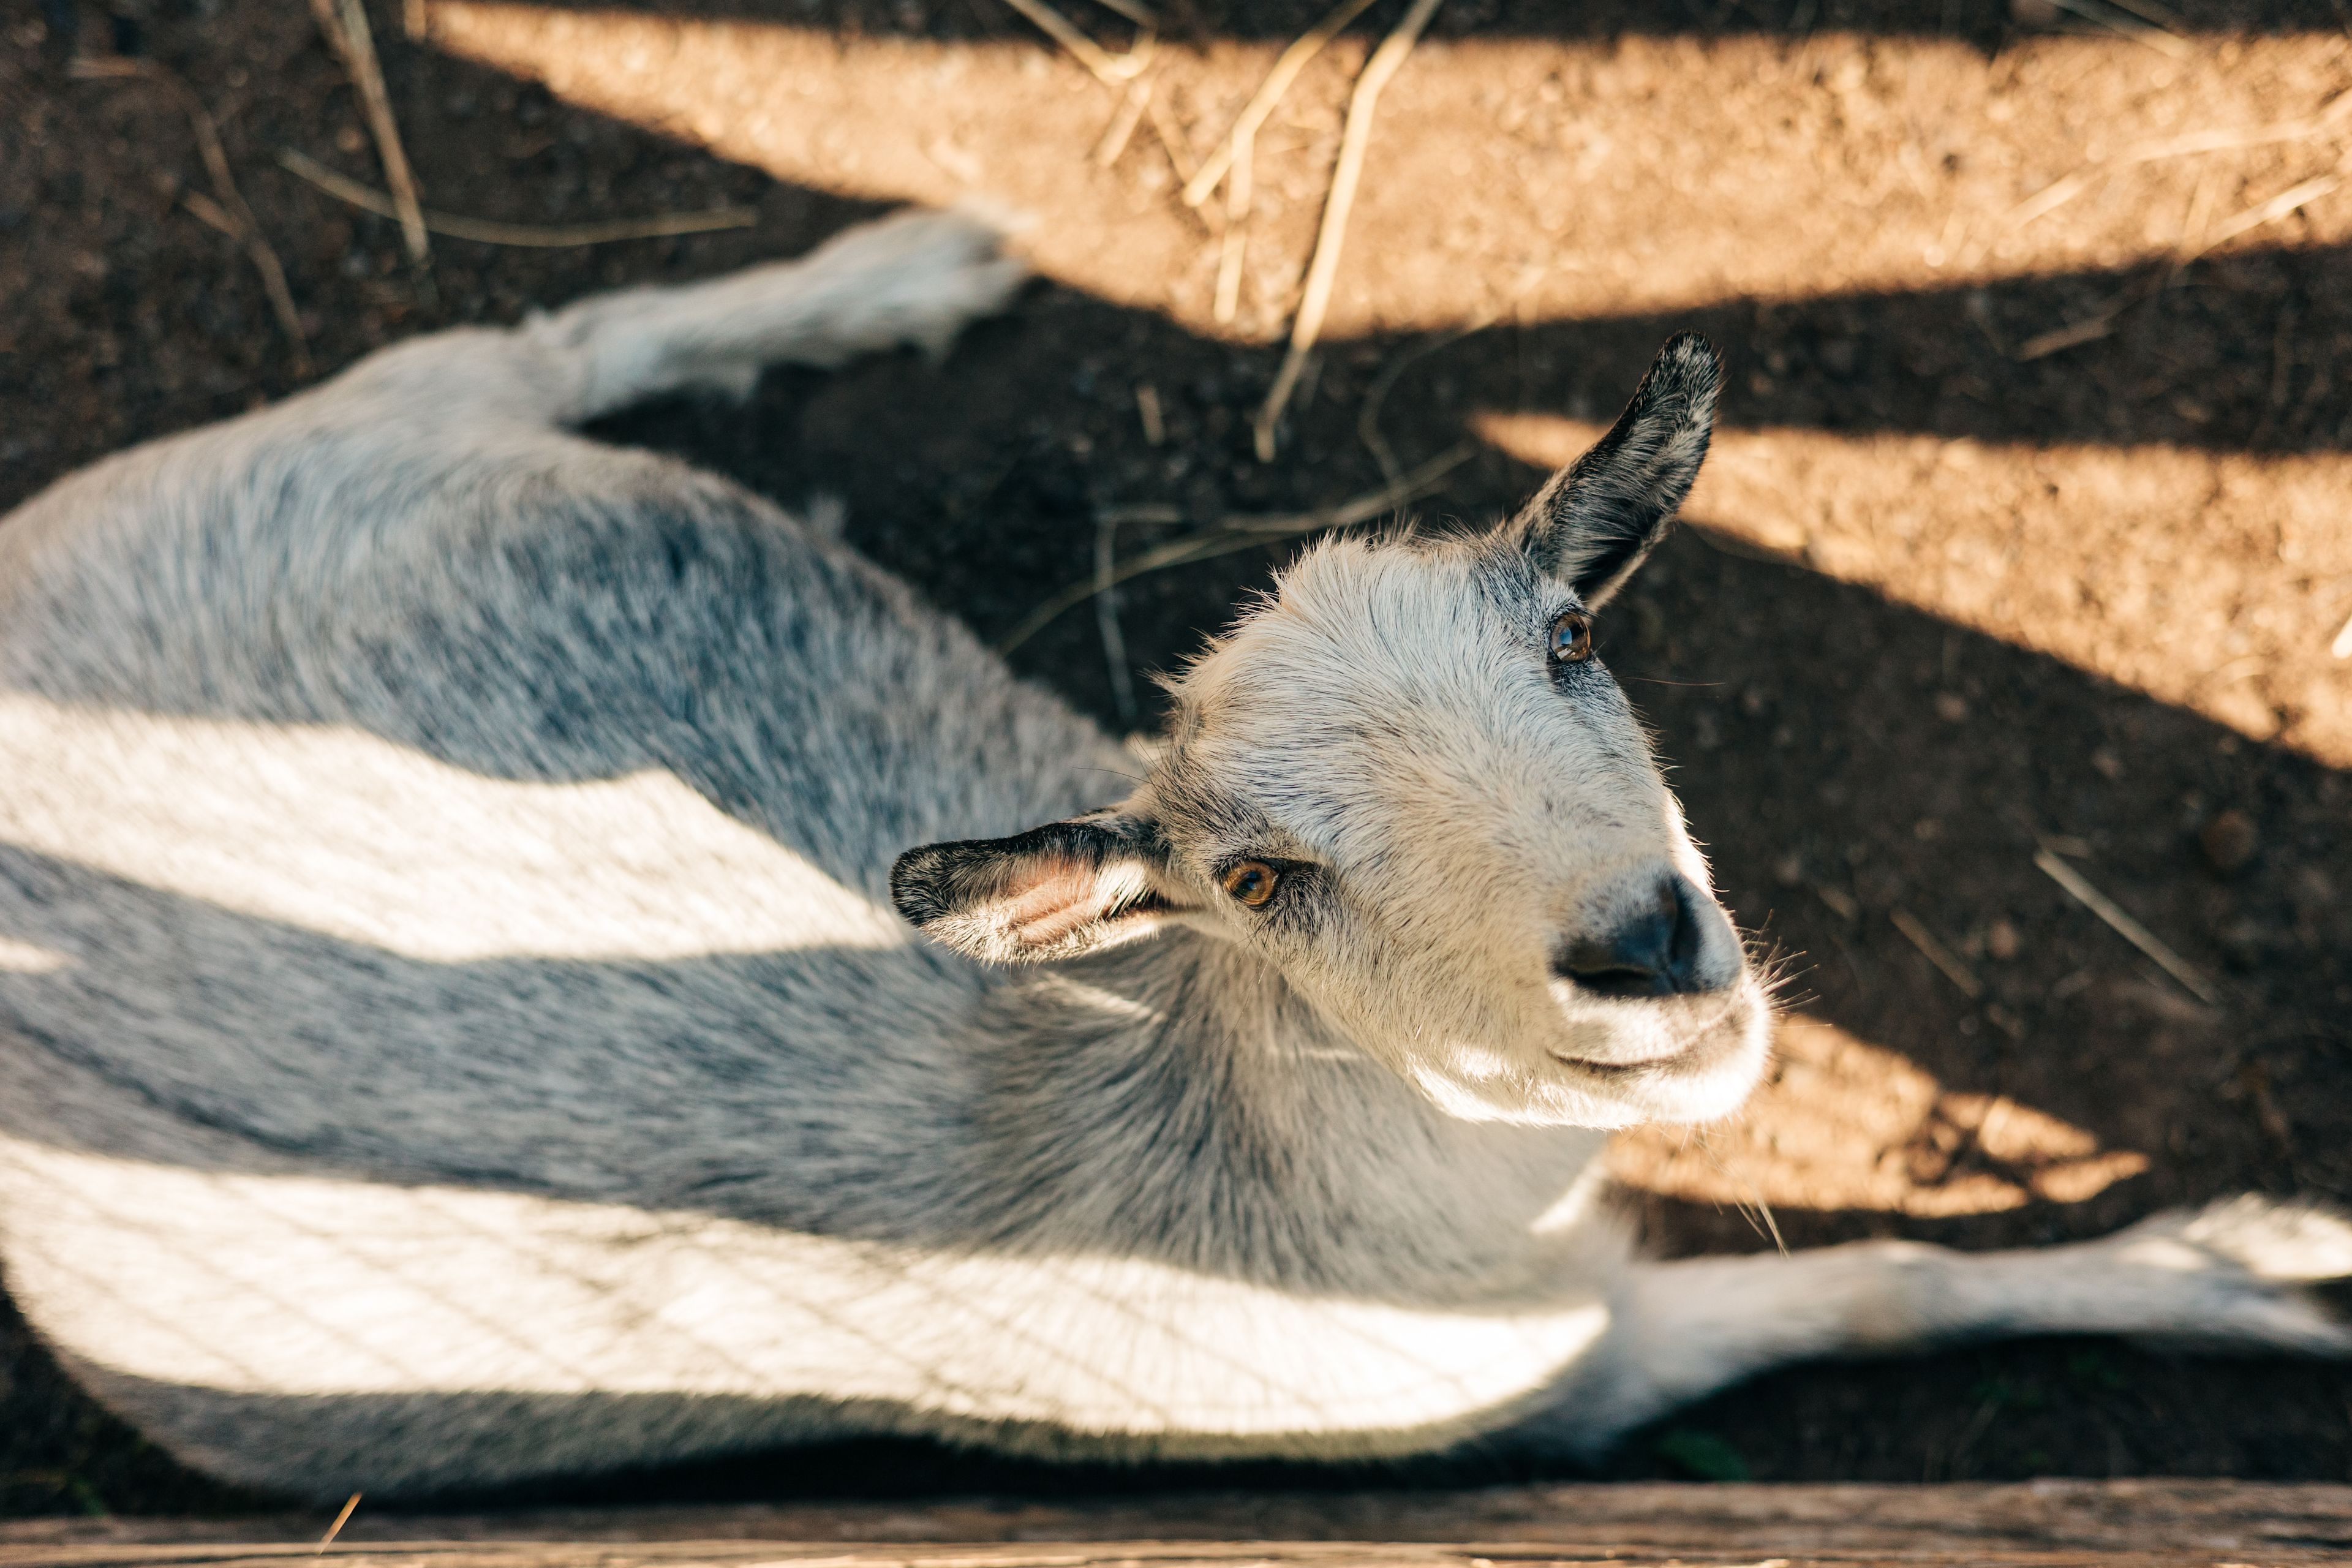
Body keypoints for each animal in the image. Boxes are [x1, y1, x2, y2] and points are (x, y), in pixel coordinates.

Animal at [1, 209, 2345, 1502]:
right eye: (1256, 879)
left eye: (1574, 638)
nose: (1640, 944)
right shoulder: (1547, 1388)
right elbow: (1870, 1287)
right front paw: (2249, 1267)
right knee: (542, 338)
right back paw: (896, 273)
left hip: (364, 454)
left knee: (551, 350)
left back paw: (910, 268)